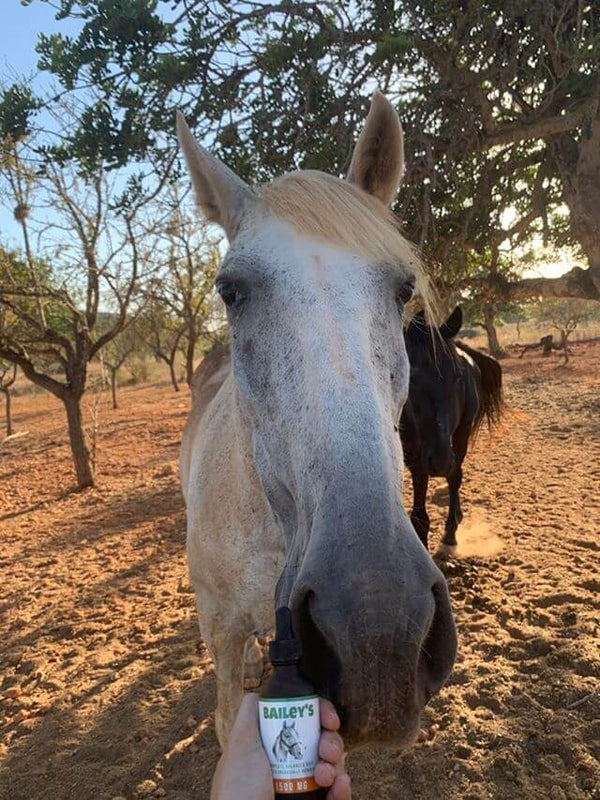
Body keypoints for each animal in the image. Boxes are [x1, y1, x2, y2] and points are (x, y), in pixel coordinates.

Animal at [401, 306, 503, 554]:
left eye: (457, 377)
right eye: (411, 378)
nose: (440, 462)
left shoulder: (421, 457)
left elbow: (420, 517)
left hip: (460, 436)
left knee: (455, 476)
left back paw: (450, 532)